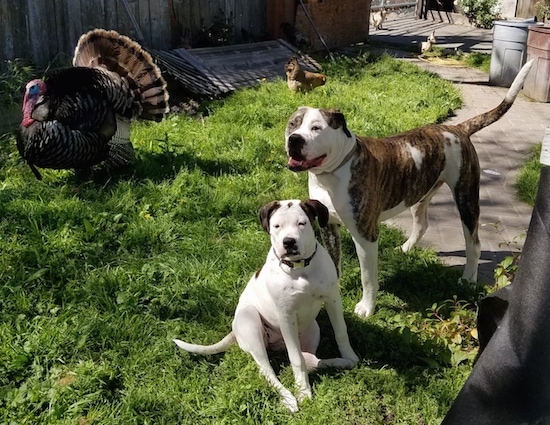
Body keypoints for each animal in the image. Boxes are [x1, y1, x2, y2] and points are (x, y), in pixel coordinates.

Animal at [175, 200, 360, 412]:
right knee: (269, 370)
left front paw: (350, 356)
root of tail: (234, 331)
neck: (300, 270)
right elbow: (296, 360)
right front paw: (303, 392)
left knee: (311, 359)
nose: (288, 242)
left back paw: (341, 362)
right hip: (251, 322)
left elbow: (341, 332)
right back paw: (289, 397)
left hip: (313, 327)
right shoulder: (286, 315)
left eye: (302, 223)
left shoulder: (332, 299)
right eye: (276, 226)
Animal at [284, 59, 536, 318]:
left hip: (466, 198)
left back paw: (468, 279)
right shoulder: (329, 227)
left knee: (473, 243)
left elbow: (368, 278)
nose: (294, 139)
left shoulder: (366, 235)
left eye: (316, 128)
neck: (332, 172)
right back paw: (405, 248)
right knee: (422, 223)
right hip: (421, 193)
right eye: (292, 124)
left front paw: (366, 308)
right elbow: (335, 263)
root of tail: (458, 129)